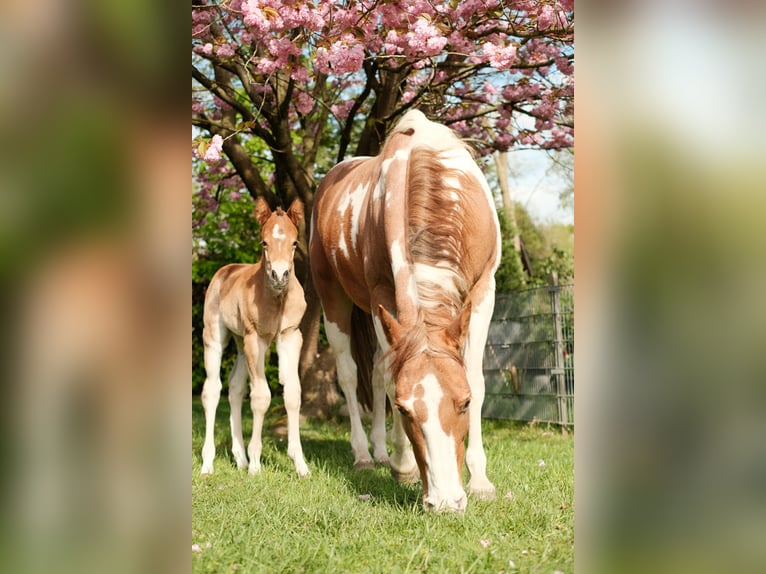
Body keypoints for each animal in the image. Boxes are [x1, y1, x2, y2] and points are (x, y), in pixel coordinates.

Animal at [200, 197, 309, 477]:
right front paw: (256, 463)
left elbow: (293, 393)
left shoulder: (290, 336)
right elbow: (261, 396)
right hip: (215, 337)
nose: (280, 276)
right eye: (264, 243)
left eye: (295, 242)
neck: (276, 299)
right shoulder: (255, 339)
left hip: (240, 343)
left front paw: (300, 464)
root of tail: (225, 270)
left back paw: (239, 458)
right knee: (212, 391)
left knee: (235, 388)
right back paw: (208, 463)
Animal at [310, 110, 500, 511]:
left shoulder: (484, 290)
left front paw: (480, 481)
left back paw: (381, 453)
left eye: (464, 403)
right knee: (351, 374)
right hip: (332, 296)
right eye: (404, 409)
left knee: (375, 370)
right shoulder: (383, 294)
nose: (445, 502)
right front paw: (404, 466)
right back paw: (367, 456)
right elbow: (389, 377)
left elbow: (476, 377)